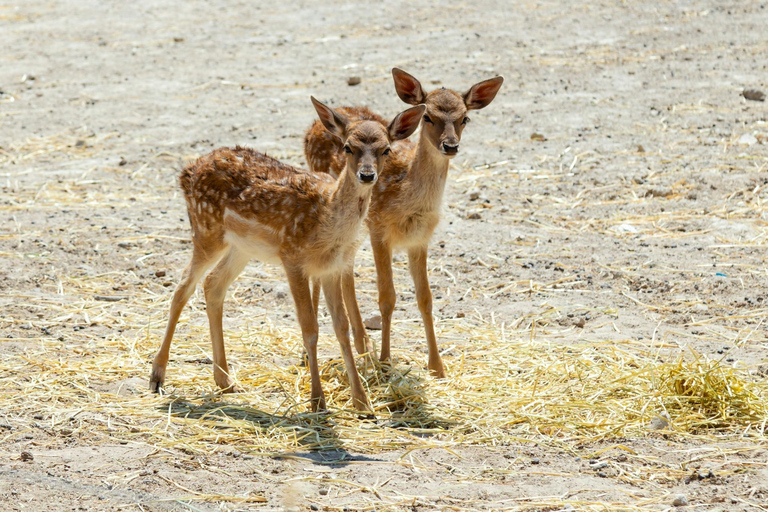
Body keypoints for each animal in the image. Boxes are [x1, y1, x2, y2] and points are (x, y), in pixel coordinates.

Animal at [149, 98, 426, 414]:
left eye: (386, 149)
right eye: (347, 147)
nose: (367, 175)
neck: (327, 220)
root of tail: (187, 172)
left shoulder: (331, 268)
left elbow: (341, 328)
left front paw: (362, 403)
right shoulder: (292, 257)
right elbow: (310, 328)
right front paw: (317, 400)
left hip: (241, 247)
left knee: (213, 285)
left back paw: (226, 381)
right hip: (207, 229)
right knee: (182, 287)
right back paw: (157, 376)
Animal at [304, 68, 508, 378]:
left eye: (465, 118)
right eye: (428, 117)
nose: (450, 146)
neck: (406, 195)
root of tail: (315, 124)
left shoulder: (421, 238)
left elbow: (425, 298)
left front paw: (437, 366)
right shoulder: (379, 229)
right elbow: (387, 298)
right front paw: (386, 360)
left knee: (346, 270)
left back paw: (363, 345)